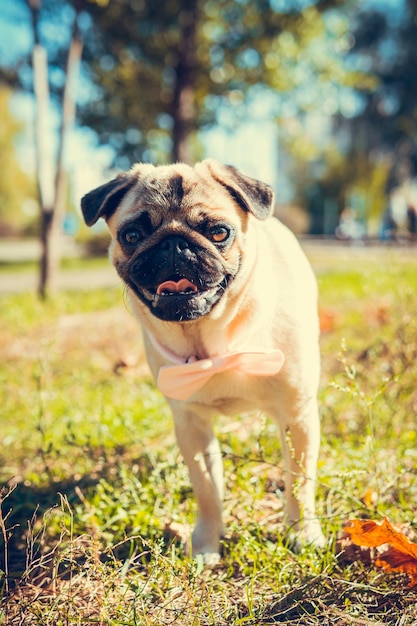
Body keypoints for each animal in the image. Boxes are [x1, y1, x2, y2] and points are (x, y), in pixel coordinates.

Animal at [79, 158, 324, 560]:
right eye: (132, 235)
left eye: (219, 232)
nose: (174, 244)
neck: (213, 342)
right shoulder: (191, 426)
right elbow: (207, 489)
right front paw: (208, 543)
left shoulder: (297, 414)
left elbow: (299, 482)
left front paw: (303, 533)